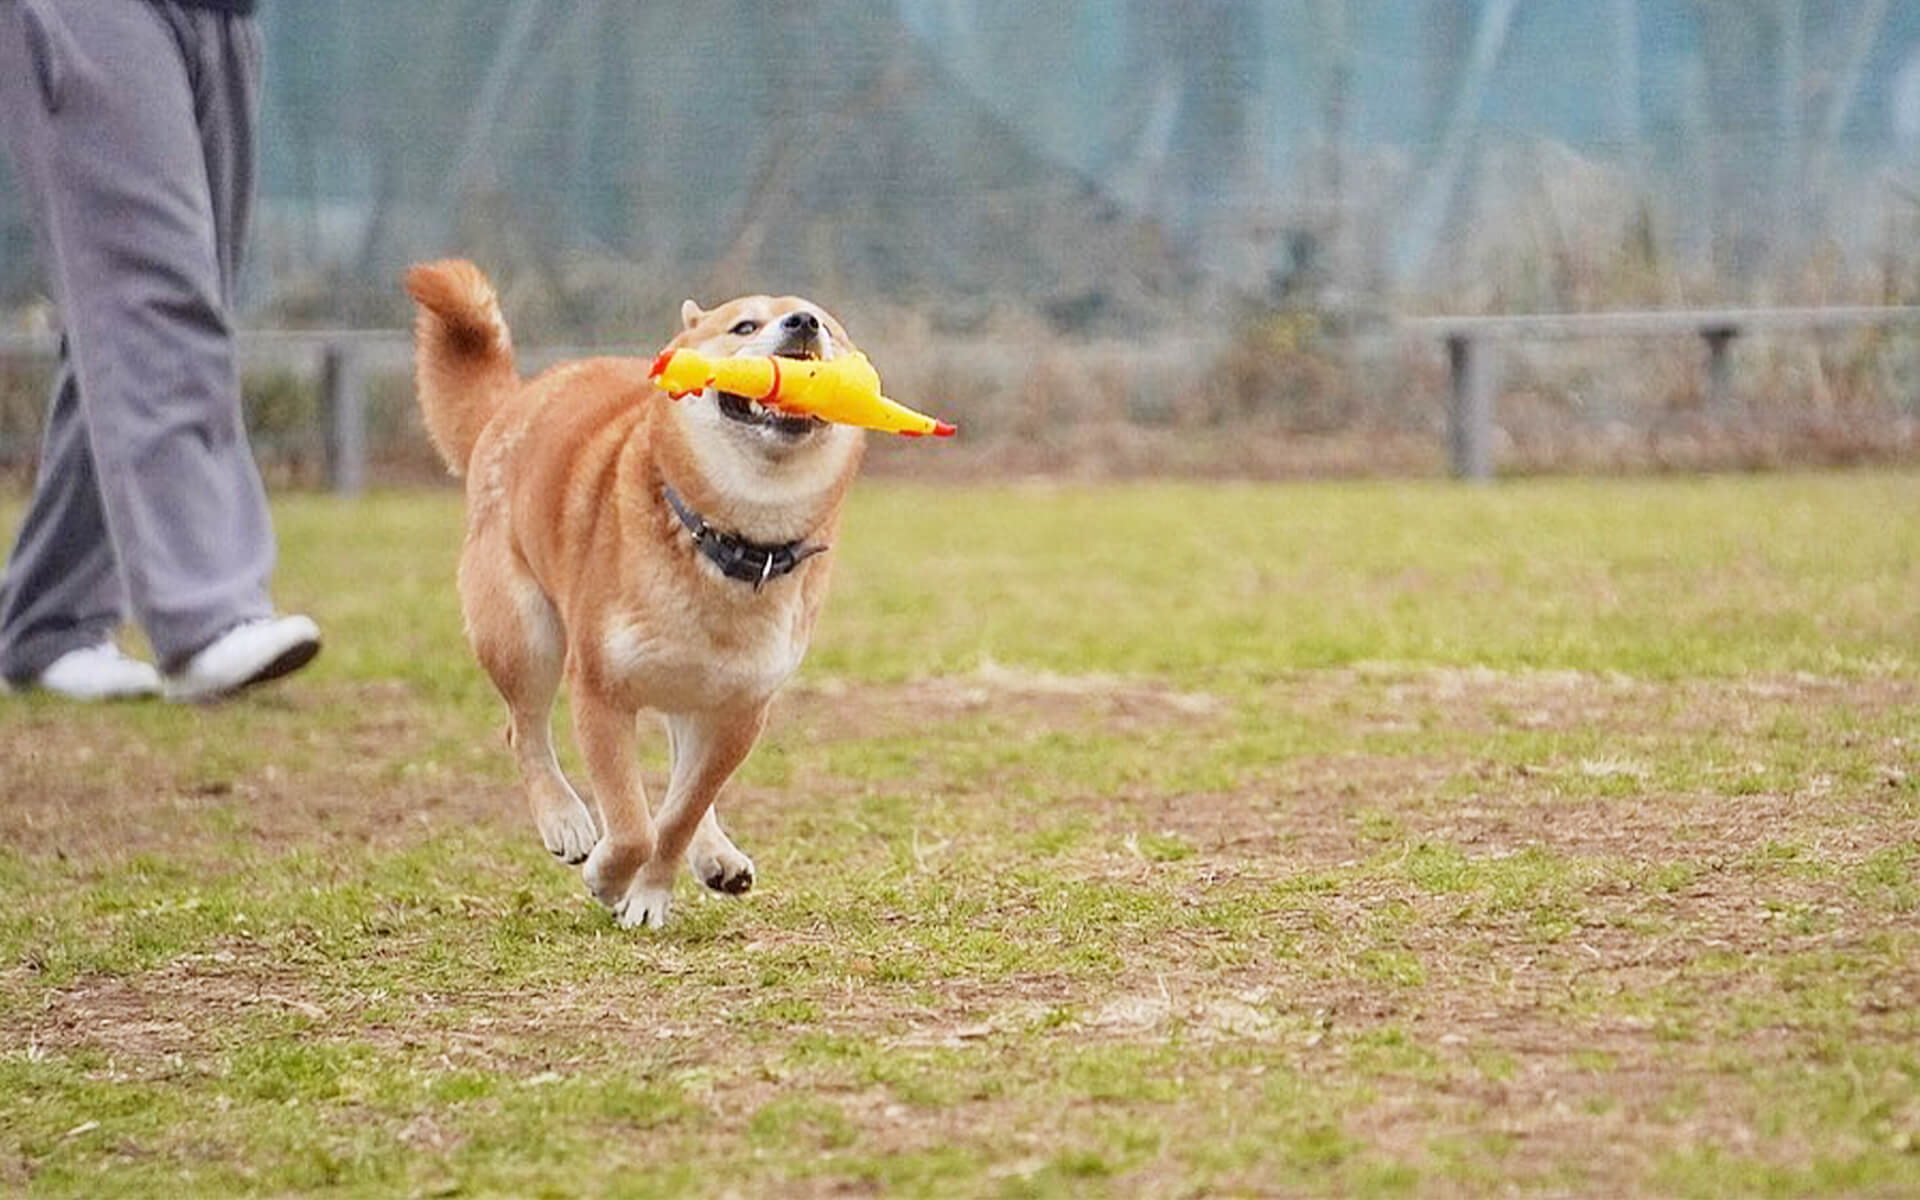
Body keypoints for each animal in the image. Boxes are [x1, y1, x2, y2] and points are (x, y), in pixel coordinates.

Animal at [408, 261, 867, 933]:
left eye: (829, 328)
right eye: (745, 326)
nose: (804, 323)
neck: (727, 542)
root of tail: (518, 399)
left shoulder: (740, 711)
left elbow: (676, 816)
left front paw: (651, 891)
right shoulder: (601, 691)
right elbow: (631, 823)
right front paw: (608, 875)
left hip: (694, 689)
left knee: (678, 775)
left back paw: (715, 854)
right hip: (523, 632)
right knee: (523, 730)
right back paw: (566, 820)